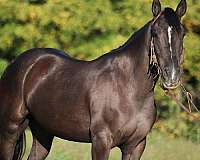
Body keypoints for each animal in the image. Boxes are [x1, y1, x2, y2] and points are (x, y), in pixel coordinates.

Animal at [0, 0, 188, 159]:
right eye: (155, 33)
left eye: (183, 33)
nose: (172, 76)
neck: (129, 89)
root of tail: (17, 63)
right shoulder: (101, 142)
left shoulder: (135, 146)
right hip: (10, 129)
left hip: (43, 132)